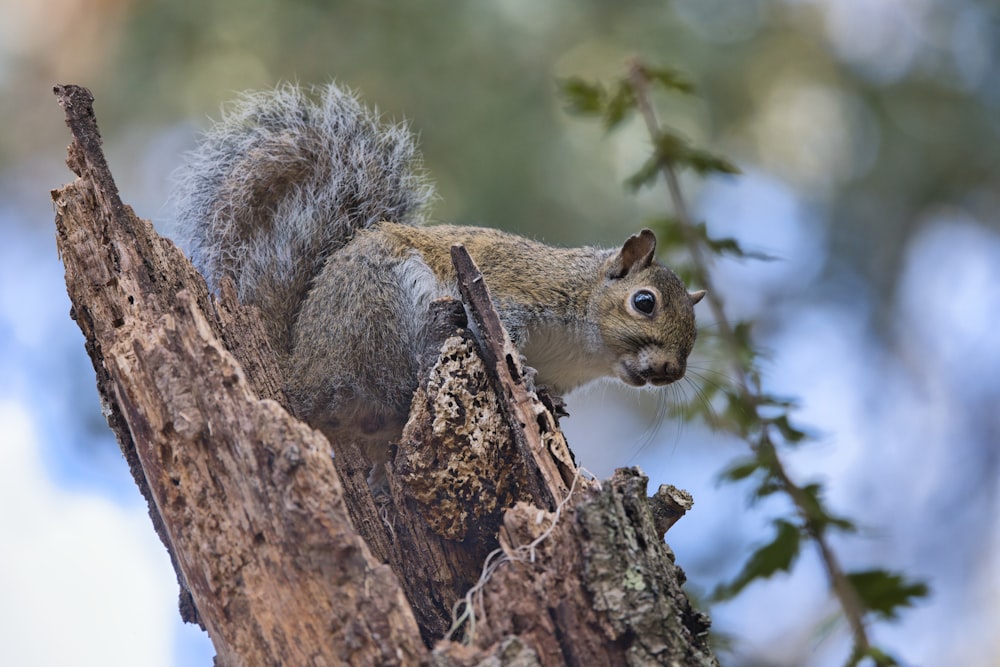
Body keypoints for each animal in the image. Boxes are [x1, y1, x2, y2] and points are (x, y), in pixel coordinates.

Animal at [170, 79, 704, 460]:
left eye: (695, 334)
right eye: (644, 302)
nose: (670, 372)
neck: (584, 347)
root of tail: (300, 370)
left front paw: (549, 401)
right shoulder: (516, 289)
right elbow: (507, 331)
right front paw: (526, 376)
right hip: (380, 306)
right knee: (392, 378)